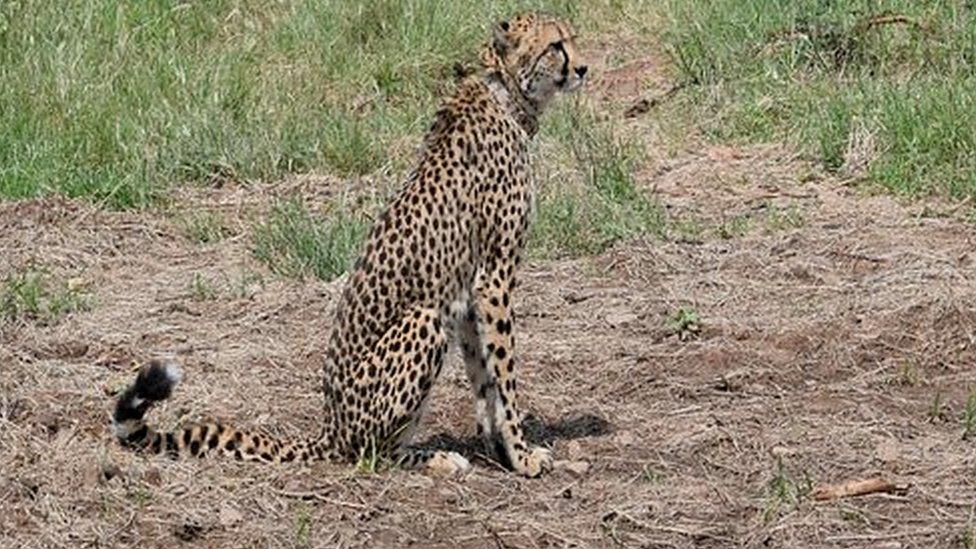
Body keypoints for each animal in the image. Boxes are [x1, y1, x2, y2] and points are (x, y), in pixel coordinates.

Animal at [114, 11, 588, 476]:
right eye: (556, 45)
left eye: (571, 39)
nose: (583, 68)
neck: (505, 93)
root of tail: (330, 429)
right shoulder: (494, 277)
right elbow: (504, 375)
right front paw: (522, 455)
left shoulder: (470, 292)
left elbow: (483, 375)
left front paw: (497, 448)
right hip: (424, 321)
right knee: (370, 452)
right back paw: (433, 458)